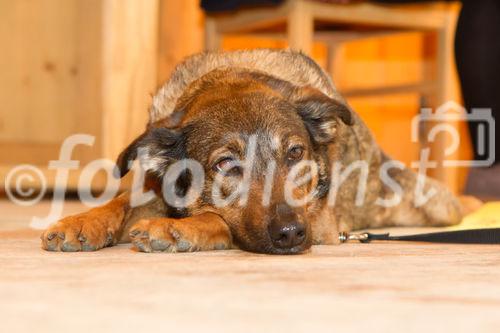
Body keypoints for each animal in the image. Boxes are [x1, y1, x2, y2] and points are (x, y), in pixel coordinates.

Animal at [41, 48, 462, 253]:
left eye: (295, 154)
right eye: (226, 164)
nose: (292, 234)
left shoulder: (320, 224)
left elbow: (218, 218)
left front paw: (178, 229)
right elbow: (120, 202)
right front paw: (81, 222)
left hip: (433, 205)